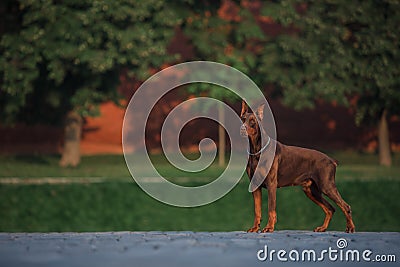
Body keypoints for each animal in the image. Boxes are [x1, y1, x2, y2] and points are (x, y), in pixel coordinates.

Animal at [239, 101, 354, 233]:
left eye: (252, 121)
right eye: (243, 119)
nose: (242, 128)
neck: (257, 150)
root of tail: (331, 160)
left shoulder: (271, 184)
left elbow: (271, 208)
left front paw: (269, 227)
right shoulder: (254, 185)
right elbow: (257, 210)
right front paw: (255, 227)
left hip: (326, 186)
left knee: (345, 206)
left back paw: (350, 227)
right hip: (311, 191)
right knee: (330, 208)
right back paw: (322, 228)